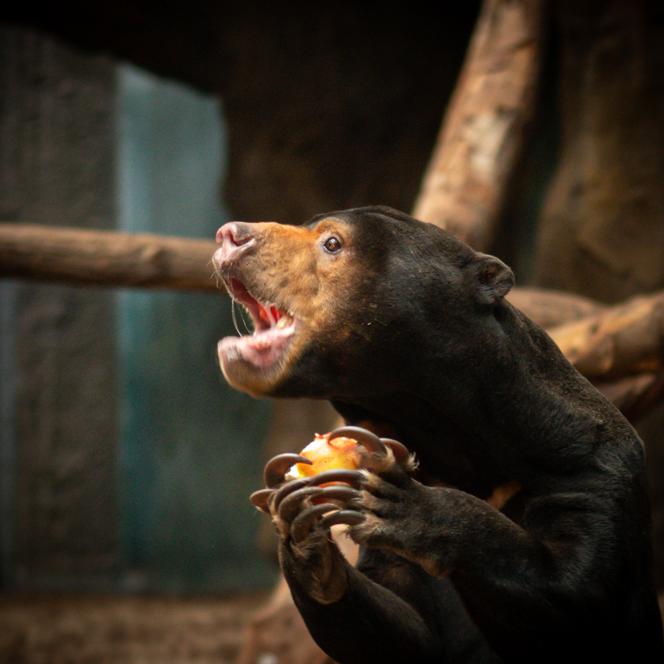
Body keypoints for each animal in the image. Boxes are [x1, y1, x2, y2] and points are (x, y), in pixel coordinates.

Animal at [211, 205, 660, 660]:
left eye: (332, 242)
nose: (230, 234)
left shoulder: (587, 467)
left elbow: (577, 594)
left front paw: (393, 502)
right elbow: (410, 624)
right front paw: (298, 526)